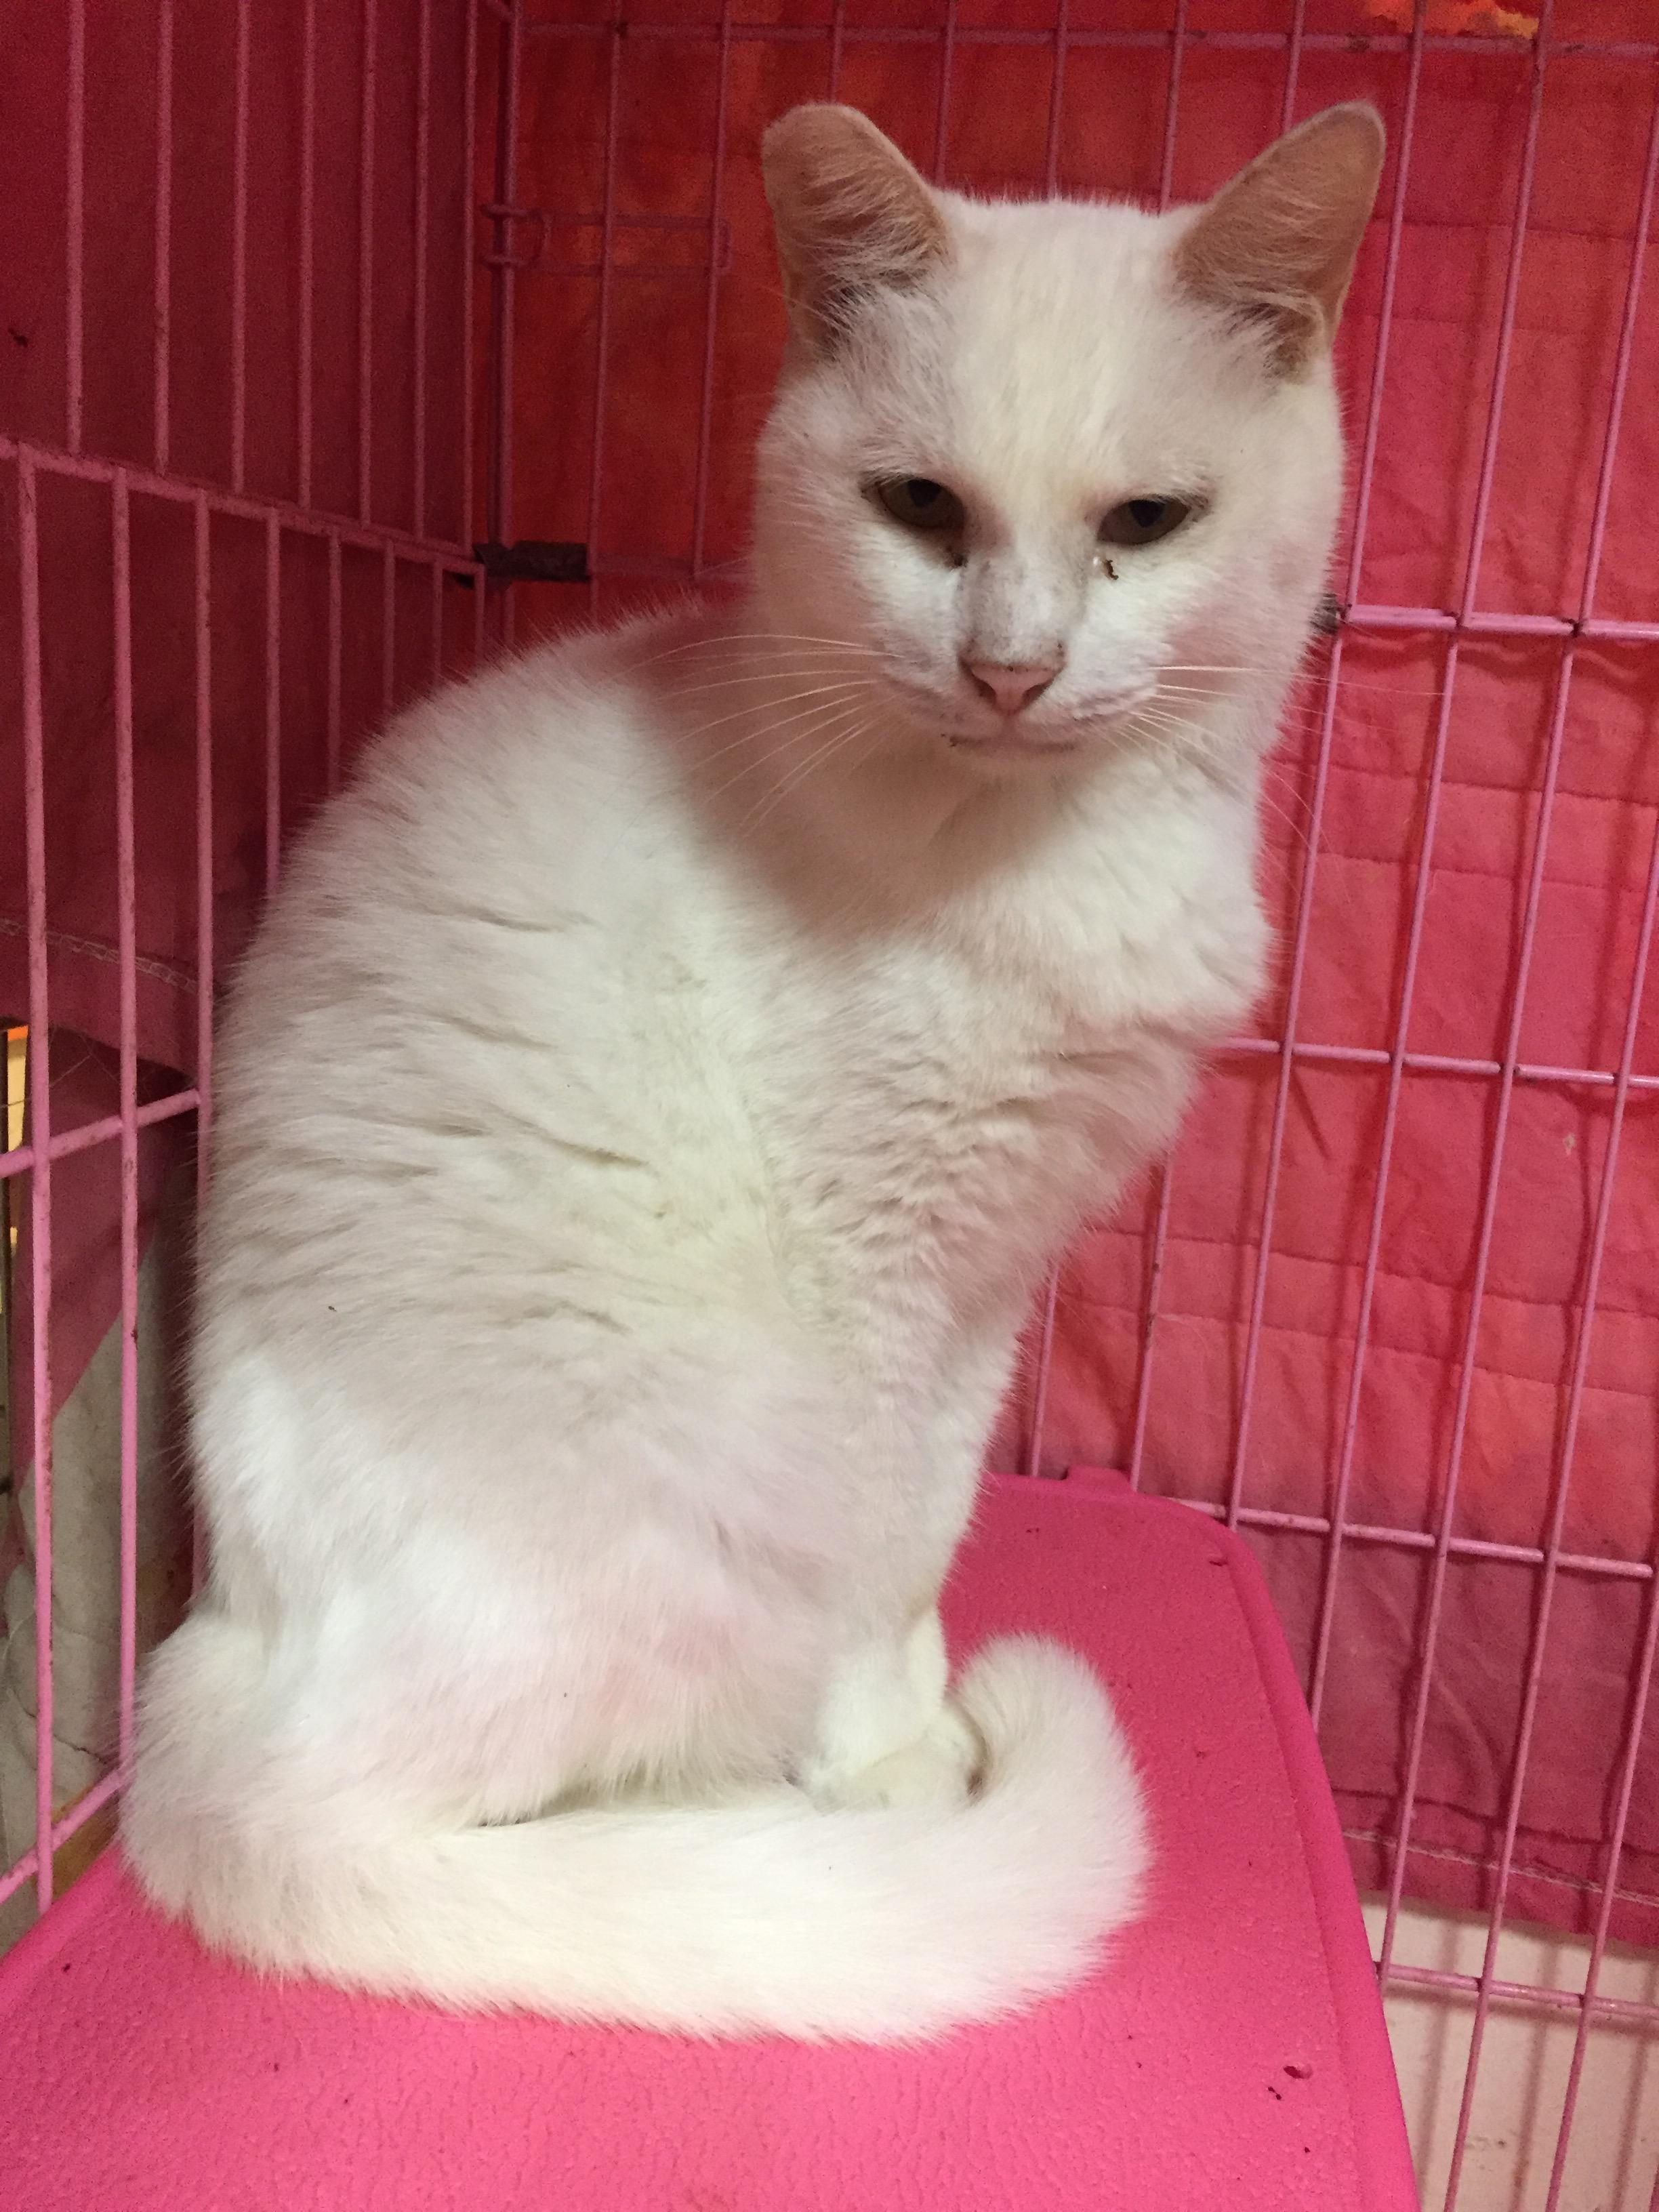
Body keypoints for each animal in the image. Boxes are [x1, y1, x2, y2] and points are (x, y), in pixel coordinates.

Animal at [123, 100, 1383, 2042]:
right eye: (920, 508)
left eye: (1147, 525)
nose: (1008, 667)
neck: (1034, 843)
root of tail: (208, 1660)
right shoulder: (869, 1279)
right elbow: (876, 1554)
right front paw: (886, 1769)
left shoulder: (981, 1291)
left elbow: (928, 1529)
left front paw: (918, 1714)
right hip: (703, 1487)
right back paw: (785, 1834)